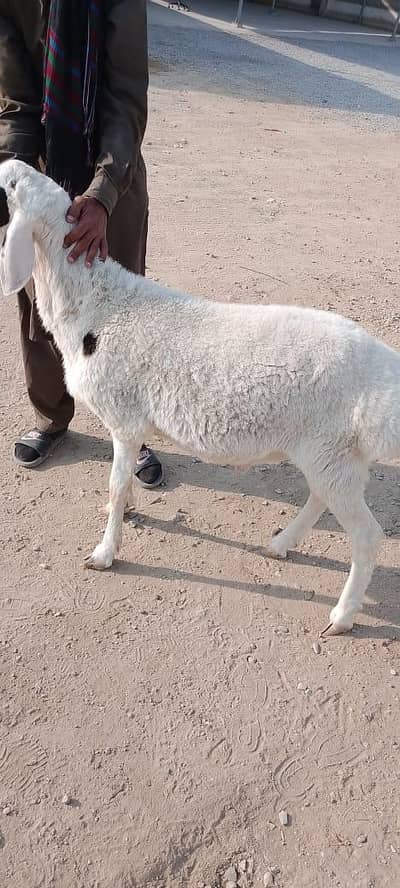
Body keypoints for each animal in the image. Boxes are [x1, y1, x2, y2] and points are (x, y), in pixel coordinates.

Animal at [0, 159, 396, 638]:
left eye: (12, 185)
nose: (8, 164)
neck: (97, 304)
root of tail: (385, 377)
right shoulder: (128, 426)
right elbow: (122, 483)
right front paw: (126, 512)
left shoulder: (124, 418)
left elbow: (116, 483)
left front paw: (104, 553)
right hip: (329, 452)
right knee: (322, 498)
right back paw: (281, 544)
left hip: (330, 446)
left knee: (366, 535)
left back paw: (341, 615)